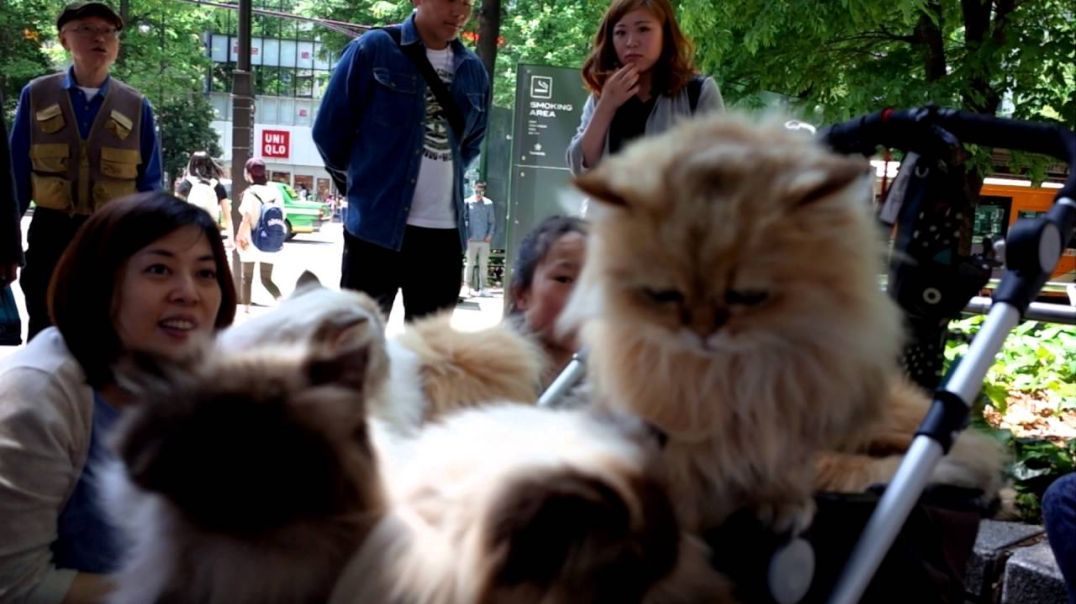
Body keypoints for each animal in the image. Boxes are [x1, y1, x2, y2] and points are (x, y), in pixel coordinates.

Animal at [563, 113, 908, 531]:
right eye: (663, 295)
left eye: (748, 296)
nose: (702, 331)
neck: (729, 377)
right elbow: (678, 477)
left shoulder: (788, 417)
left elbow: (782, 465)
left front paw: (781, 502)